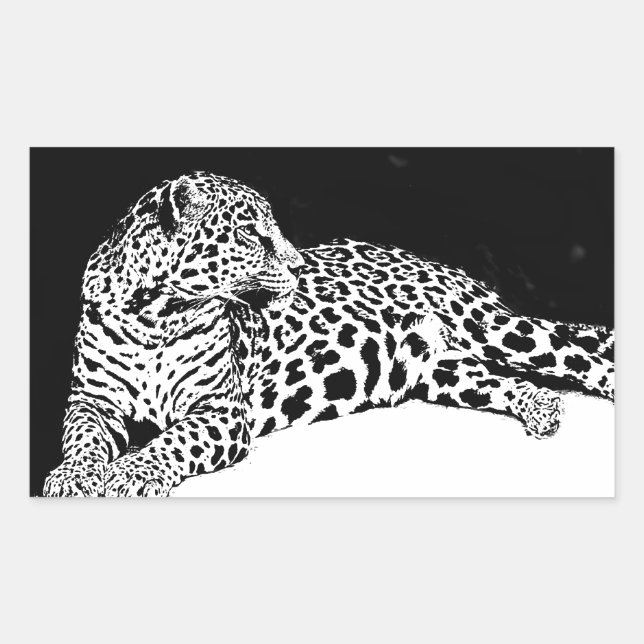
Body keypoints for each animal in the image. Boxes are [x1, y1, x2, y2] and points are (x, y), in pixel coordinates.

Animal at [43, 171, 615, 497]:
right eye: (249, 231)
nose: (299, 267)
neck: (156, 315)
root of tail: (430, 259)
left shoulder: (221, 413)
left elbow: (175, 439)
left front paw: (133, 472)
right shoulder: (92, 400)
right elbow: (81, 439)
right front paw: (74, 476)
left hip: (494, 328)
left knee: (584, 356)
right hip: (439, 367)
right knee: (503, 380)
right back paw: (541, 409)